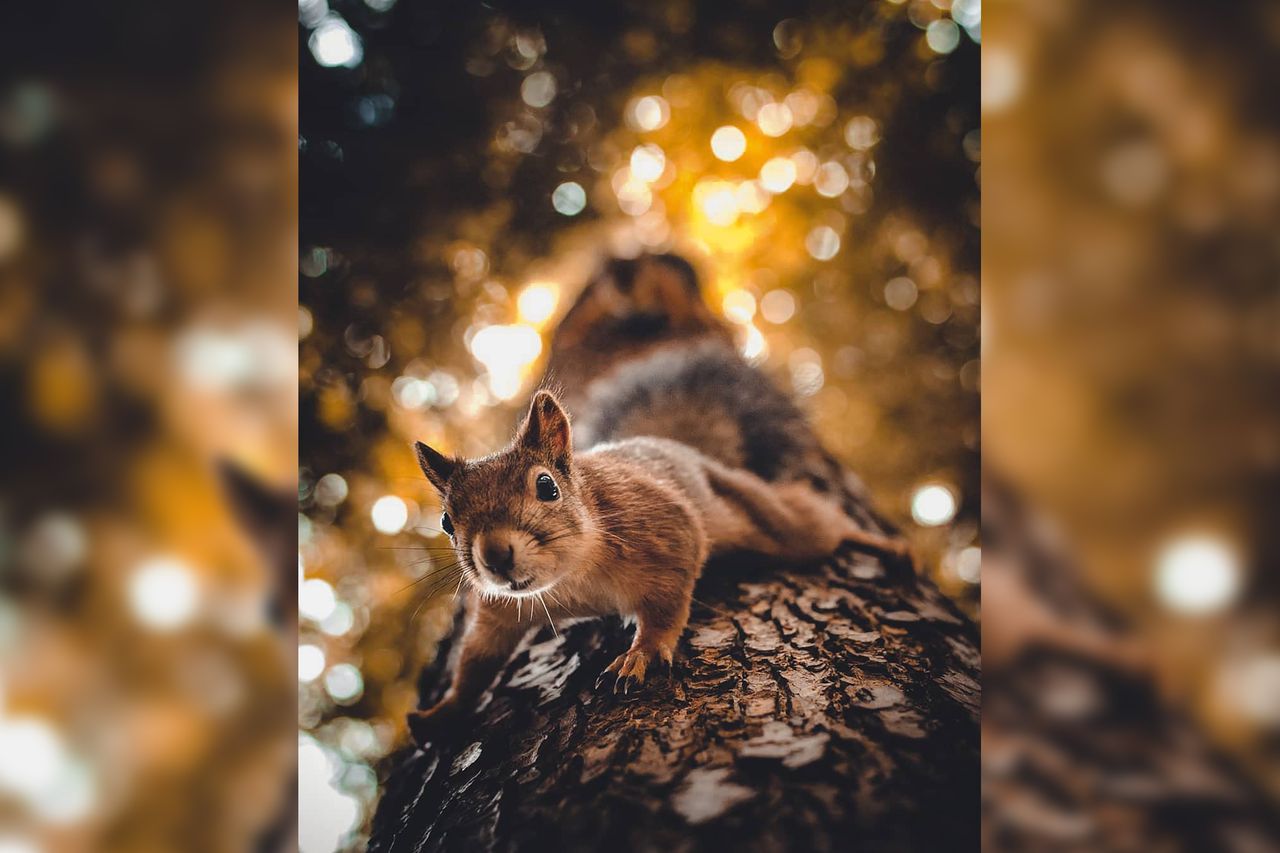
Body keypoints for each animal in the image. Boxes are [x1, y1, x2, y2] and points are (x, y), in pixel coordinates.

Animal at [409, 389, 911, 742]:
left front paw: (642, 652)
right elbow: (477, 658)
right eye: (447, 521)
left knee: (819, 523)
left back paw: (881, 544)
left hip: (777, 524)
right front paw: (443, 712)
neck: (571, 581)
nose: (495, 556)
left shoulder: (667, 533)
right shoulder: (503, 609)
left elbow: (666, 606)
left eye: (547, 487)